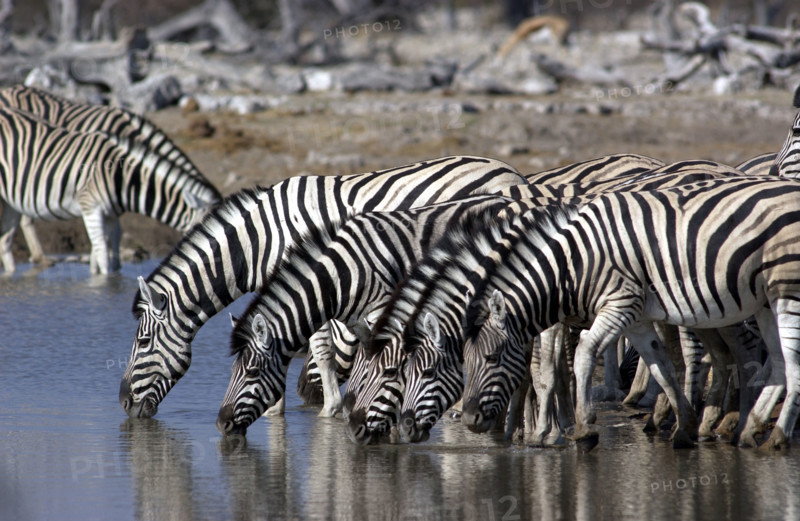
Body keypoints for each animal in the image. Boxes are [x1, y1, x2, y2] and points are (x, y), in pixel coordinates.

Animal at [119, 155, 528, 419]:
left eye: (142, 341)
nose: (123, 403)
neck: (259, 242)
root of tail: (515, 174)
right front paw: (276, 408)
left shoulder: (314, 280)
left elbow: (319, 346)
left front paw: (327, 408)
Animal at [456, 176, 800, 451]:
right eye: (465, 360)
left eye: (491, 358)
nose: (469, 419)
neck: (575, 265)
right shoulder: (636, 318)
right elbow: (661, 365)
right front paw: (684, 426)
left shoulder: (620, 304)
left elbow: (585, 351)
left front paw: (584, 427)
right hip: (762, 300)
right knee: (776, 361)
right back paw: (750, 428)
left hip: (785, 291)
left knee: (788, 361)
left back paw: (777, 436)